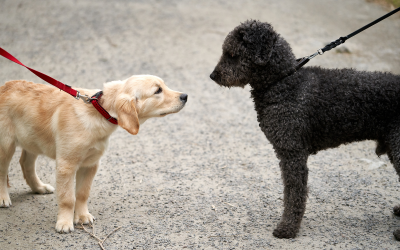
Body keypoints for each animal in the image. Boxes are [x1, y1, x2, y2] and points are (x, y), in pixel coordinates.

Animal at [0, 74, 186, 232]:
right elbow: (68, 198)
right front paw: (65, 222)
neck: (98, 111)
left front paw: (82, 216)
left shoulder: (90, 164)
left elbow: (82, 193)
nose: (185, 96)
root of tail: (4, 86)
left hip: (32, 139)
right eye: (157, 91)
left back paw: (39, 187)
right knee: (3, 172)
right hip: (6, 145)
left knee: (26, 163)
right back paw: (3, 198)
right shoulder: (66, 165)